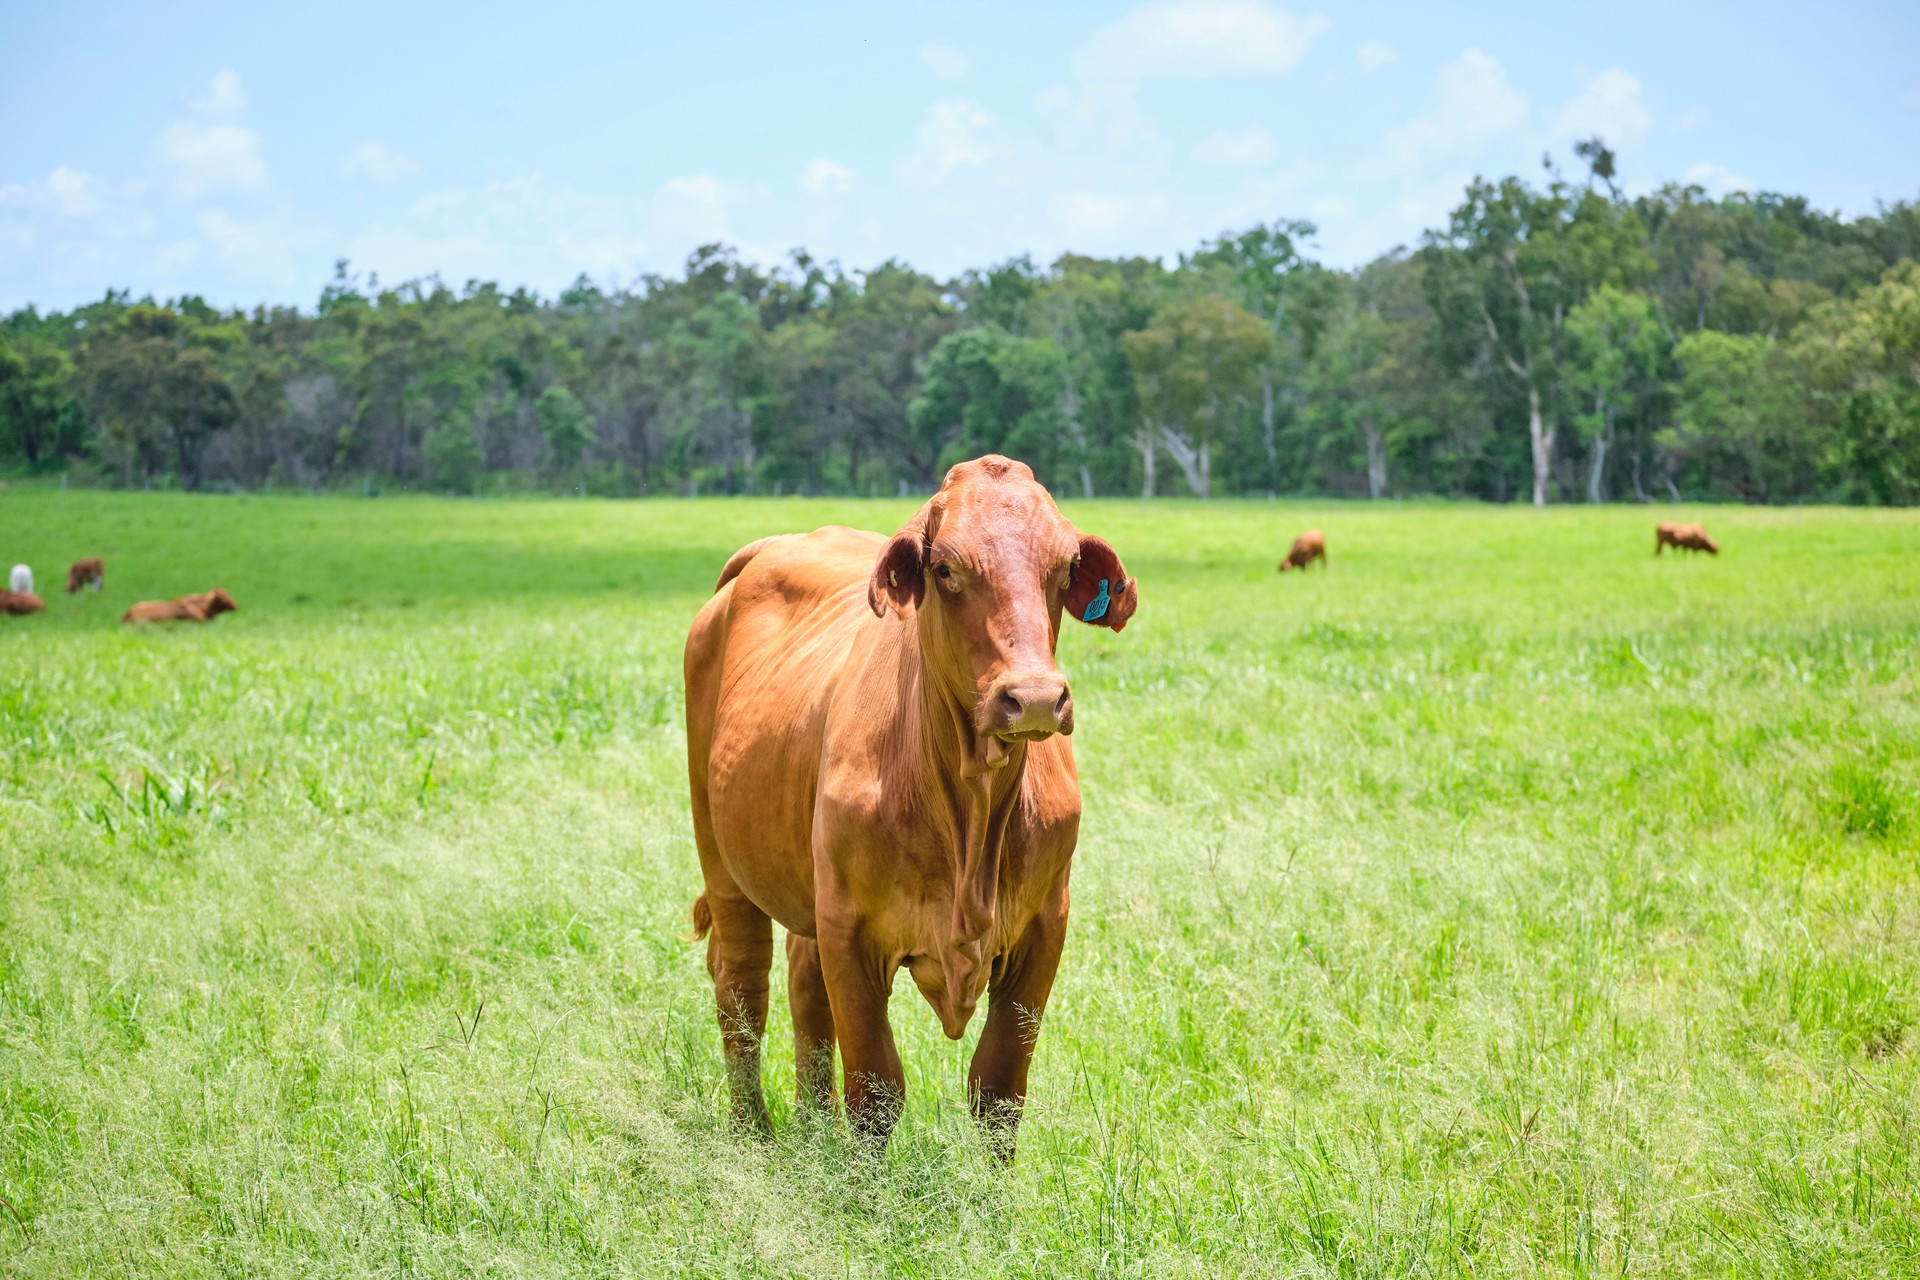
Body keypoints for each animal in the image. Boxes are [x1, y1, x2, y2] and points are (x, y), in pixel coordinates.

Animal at [679, 452, 1136, 1159]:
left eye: (1064, 570)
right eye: (945, 568)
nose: (1034, 698)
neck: (970, 808)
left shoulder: (1044, 926)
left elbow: (999, 1088)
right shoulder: (851, 929)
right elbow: (875, 1090)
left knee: (804, 989)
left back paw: (813, 1134)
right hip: (723, 862)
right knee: (743, 988)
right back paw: (754, 1135)